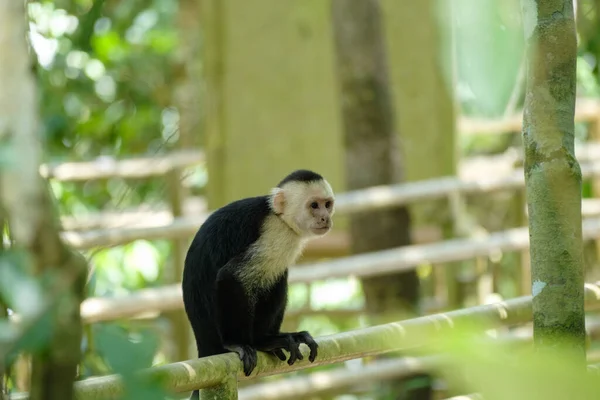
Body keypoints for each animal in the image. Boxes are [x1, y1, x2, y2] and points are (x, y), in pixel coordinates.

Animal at [180, 169, 336, 396]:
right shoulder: (275, 233)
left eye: (327, 204)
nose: (325, 217)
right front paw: (239, 342)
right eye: (314, 205)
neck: (280, 217)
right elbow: (231, 275)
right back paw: (260, 341)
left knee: (278, 276)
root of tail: (203, 346)